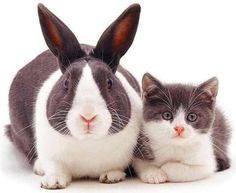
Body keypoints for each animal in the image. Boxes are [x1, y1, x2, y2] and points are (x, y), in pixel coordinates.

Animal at [6, 3, 142, 189]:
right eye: (66, 83)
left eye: (109, 82)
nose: (88, 117)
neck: (87, 142)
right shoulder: (49, 152)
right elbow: (55, 167)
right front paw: (54, 181)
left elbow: (116, 167)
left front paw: (112, 176)